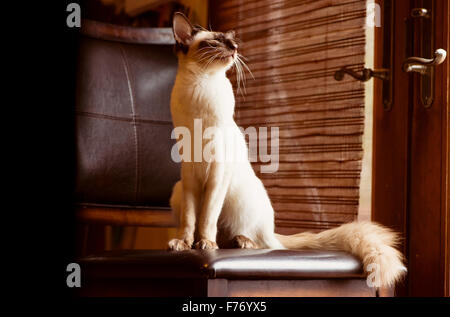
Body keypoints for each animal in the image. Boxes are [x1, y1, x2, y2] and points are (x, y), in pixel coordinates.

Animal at [167, 11, 406, 286]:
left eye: (231, 41)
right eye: (216, 42)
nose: (235, 49)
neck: (200, 86)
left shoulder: (216, 173)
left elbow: (207, 218)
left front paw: (204, 243)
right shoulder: (190, 175)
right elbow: (190, 220)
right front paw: (184, 244)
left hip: (238, 198)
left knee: (259, 241)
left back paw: (239, 242)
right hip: (178, 189)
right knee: (229, 236)